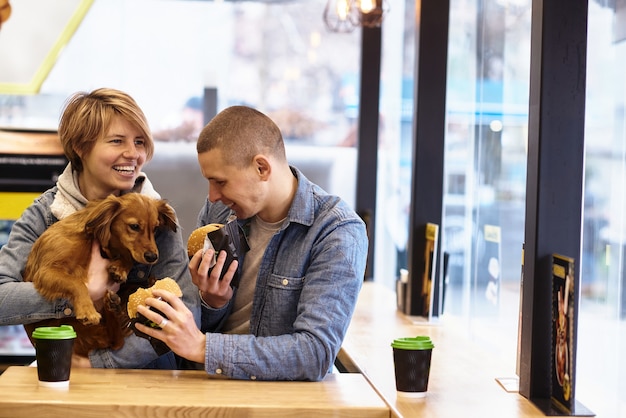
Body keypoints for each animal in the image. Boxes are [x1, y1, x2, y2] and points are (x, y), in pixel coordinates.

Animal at [23, 193, 177, 356]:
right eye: (134, 226)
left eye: (155, 228)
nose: (152, 257)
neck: (87, 237)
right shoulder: (46, 271)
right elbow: (76, 283)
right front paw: (87, 310)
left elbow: (127, 256)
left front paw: (120, 268)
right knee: (116, 340)